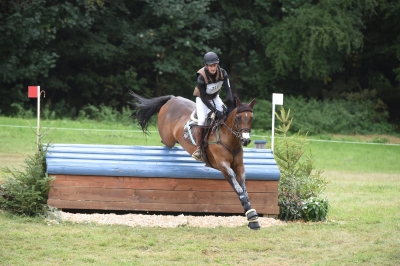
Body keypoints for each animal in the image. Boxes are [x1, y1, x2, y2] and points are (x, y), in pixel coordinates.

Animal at [128, 90, 260, 230]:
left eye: (251, 118)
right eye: (238, 118)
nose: (246, 140)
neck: (228, 138)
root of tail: (172, 99)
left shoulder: (239, 166)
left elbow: (244, 189)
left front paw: (251, 215)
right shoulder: (224, 167)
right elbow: (238, 189)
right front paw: (251, 217)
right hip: (167, 138)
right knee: (165, 142)